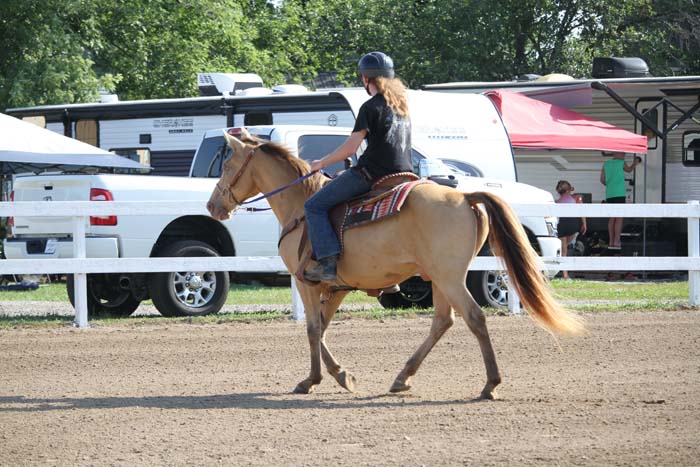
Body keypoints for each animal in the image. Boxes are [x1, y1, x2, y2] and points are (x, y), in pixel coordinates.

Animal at [207, 129, 584, 400]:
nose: (212, 206)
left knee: (474, 317)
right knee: (442, 322)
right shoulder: (337, 287)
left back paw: (490, 384)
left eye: (226, 166)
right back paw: (403, 378)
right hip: (440, 278)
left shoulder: (306, 281)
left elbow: (313, 328)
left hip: (450, 277)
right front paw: (341, 375)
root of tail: (465, 196)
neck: (301, 206)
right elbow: (323, 328)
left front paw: (312, 380)